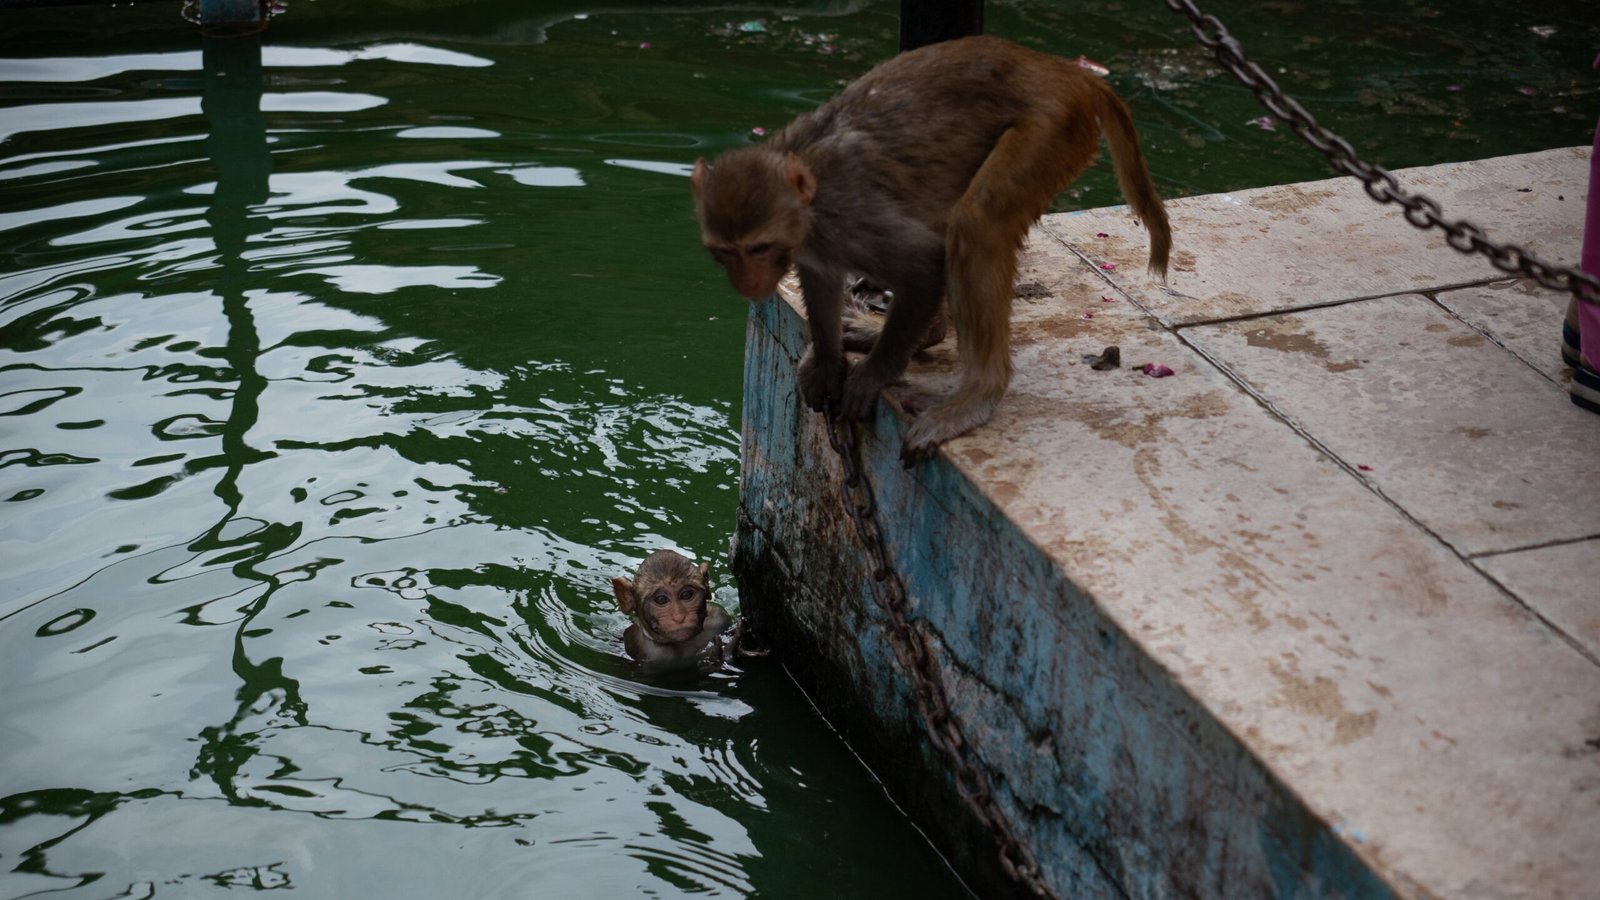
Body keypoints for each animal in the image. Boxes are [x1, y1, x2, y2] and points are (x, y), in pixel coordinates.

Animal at [691, 35, 1170, 462]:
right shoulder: (816, 244)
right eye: (725, 252)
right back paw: (925, 335)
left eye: (758, 247)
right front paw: (827, 363)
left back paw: (977, 394)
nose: (748, 284)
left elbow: (924, 265)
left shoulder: (851, 220)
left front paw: (874, 375)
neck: (809, 204)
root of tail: (1065, 71)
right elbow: (822, 278)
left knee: (976, 224)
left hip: (1052, 125)